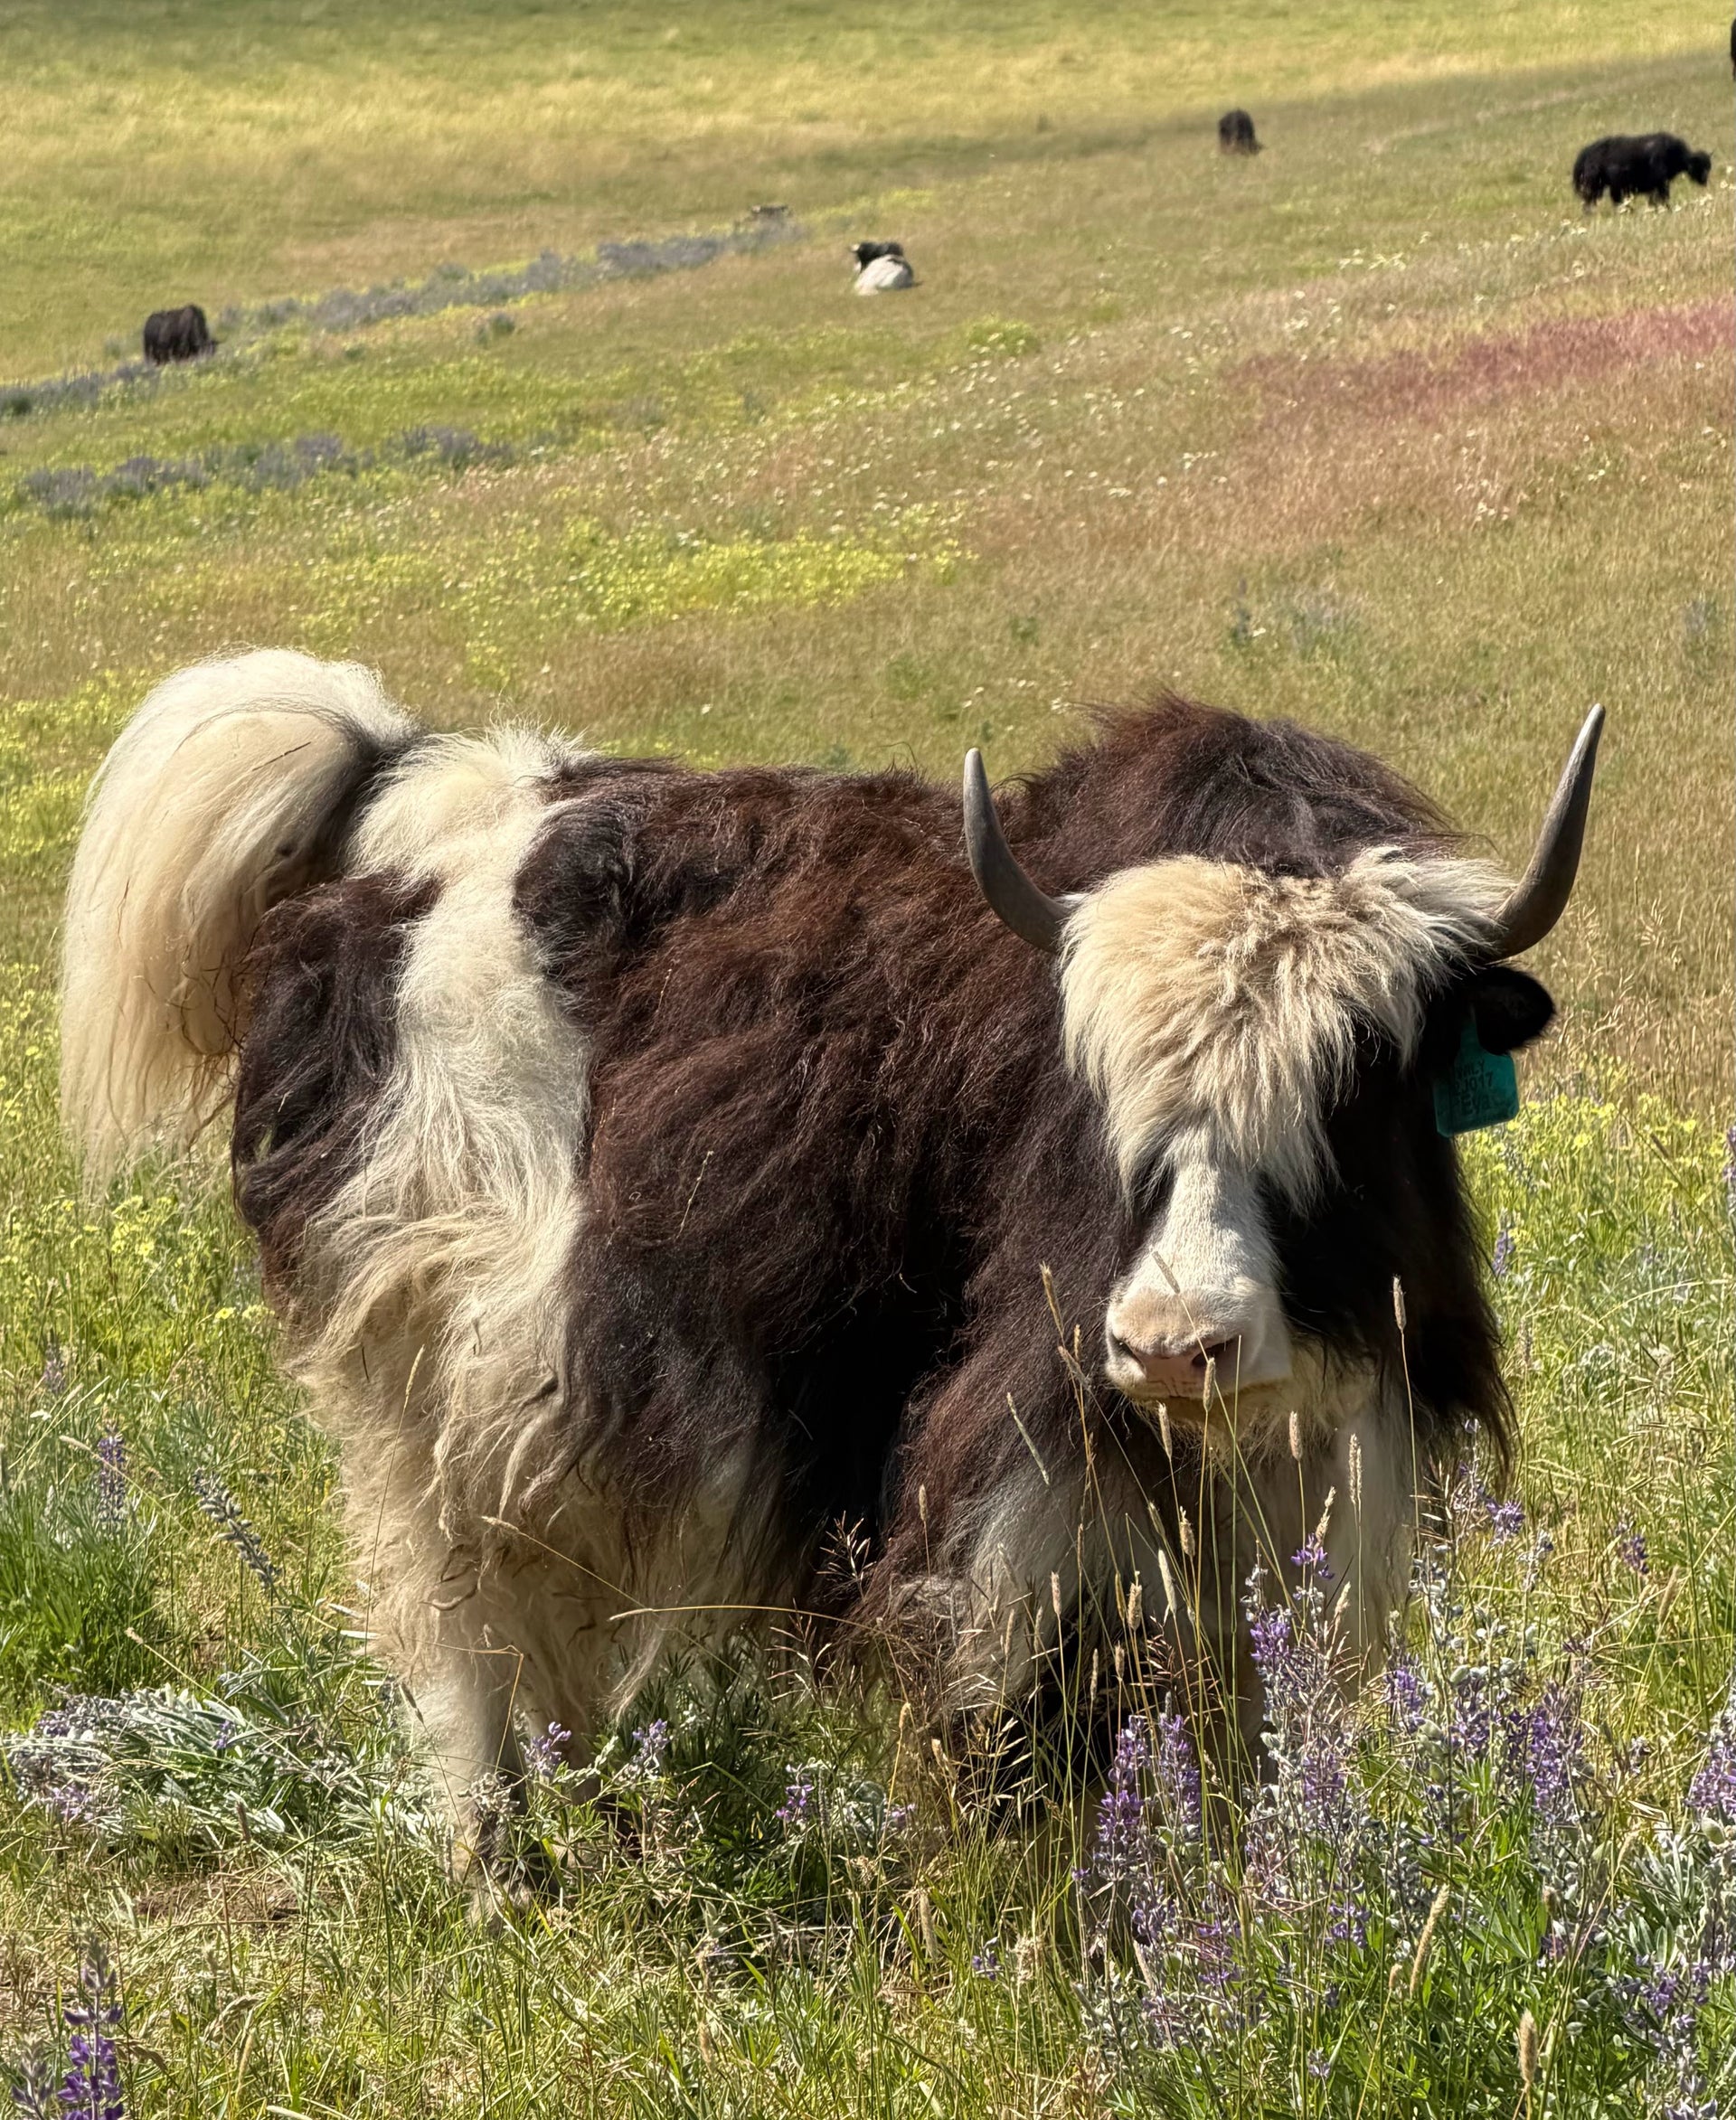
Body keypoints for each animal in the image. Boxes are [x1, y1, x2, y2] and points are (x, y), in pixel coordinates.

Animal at [60, 651, 1601, 1880]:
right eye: (1098, 1091)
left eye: (1354, 1087)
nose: (1175, 1347)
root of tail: (411, 801)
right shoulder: (1029, 1468)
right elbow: (1033, 1700)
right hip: (419, 1377)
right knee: (462, 1620)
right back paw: (504, 1871)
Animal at [1572, 133, 1713, 209]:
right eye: (1701, 167)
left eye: (1709, 166)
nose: (1705, 181)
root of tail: (1587, 152)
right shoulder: (1660, 184)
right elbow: (1661, 198)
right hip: (1596, 186)